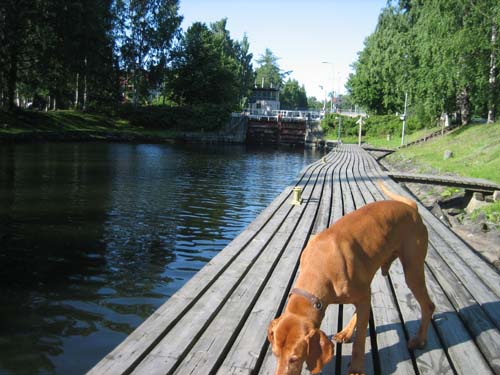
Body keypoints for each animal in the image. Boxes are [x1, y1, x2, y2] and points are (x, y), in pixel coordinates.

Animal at [268, 181, 436, 374]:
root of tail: (412, 208)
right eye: (275, 354)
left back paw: (420, 339)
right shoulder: (361, 294)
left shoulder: (361, 297)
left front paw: (356, 367)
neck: (318, 267)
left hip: (412, 270)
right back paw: (346, 332)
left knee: (428, 305)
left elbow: (361, 339)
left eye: (294, 358)